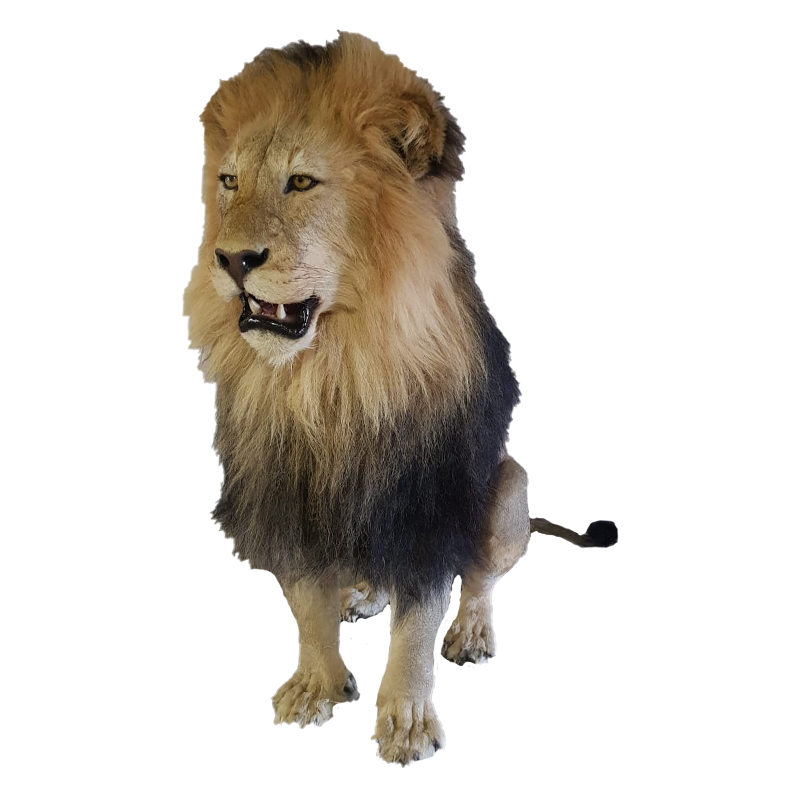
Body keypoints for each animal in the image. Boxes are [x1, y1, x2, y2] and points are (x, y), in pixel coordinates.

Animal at [183, 33, 530, 768]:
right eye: (229, 182)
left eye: (302, 182)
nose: (230, 260)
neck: (330, 373)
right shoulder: (285, 494)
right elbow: (305, 604)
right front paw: (316, 687)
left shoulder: (427, 503)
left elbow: (417, 630)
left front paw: (407, 724)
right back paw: (363, 590)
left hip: (510, 480)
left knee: (479, 580)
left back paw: (469, 630)